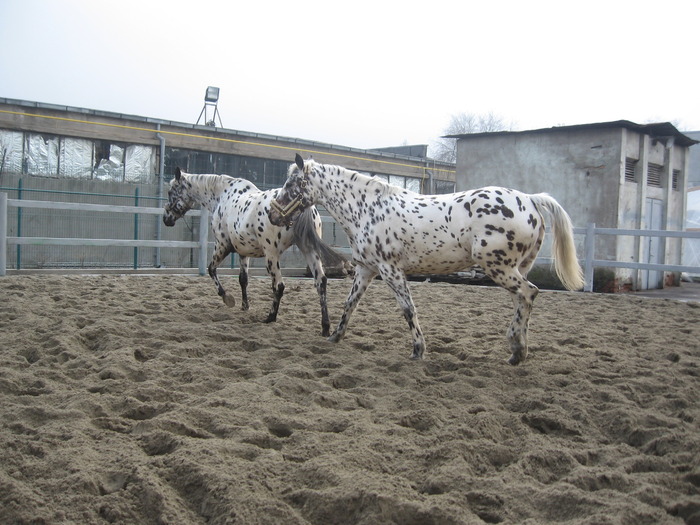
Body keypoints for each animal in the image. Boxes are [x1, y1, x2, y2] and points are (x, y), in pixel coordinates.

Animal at [164, 167, 344, 336]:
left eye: (170, 191)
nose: (167, 219)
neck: (222, 196)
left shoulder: (222, 245)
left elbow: (211, 269)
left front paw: (227, 298)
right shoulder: (244, 252)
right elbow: (243, 279)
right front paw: (245, 305)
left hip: (271, 256)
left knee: (279, 286)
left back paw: (270, 317)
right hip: (309, 251)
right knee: (320, 282)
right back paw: (325, 327)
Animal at [270, 154, 584, 362]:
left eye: (292, 183)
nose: (273, 214)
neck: (367, 210)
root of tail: (530, 199)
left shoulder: (390, 270)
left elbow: (408, 309)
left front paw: (418, 350)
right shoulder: (366, 270)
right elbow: (350, 304)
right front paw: (335, 336)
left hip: (499, 267)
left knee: (529, 294)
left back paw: (518, 352)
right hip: (516, 268)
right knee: (521, 300)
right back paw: (516, 348)